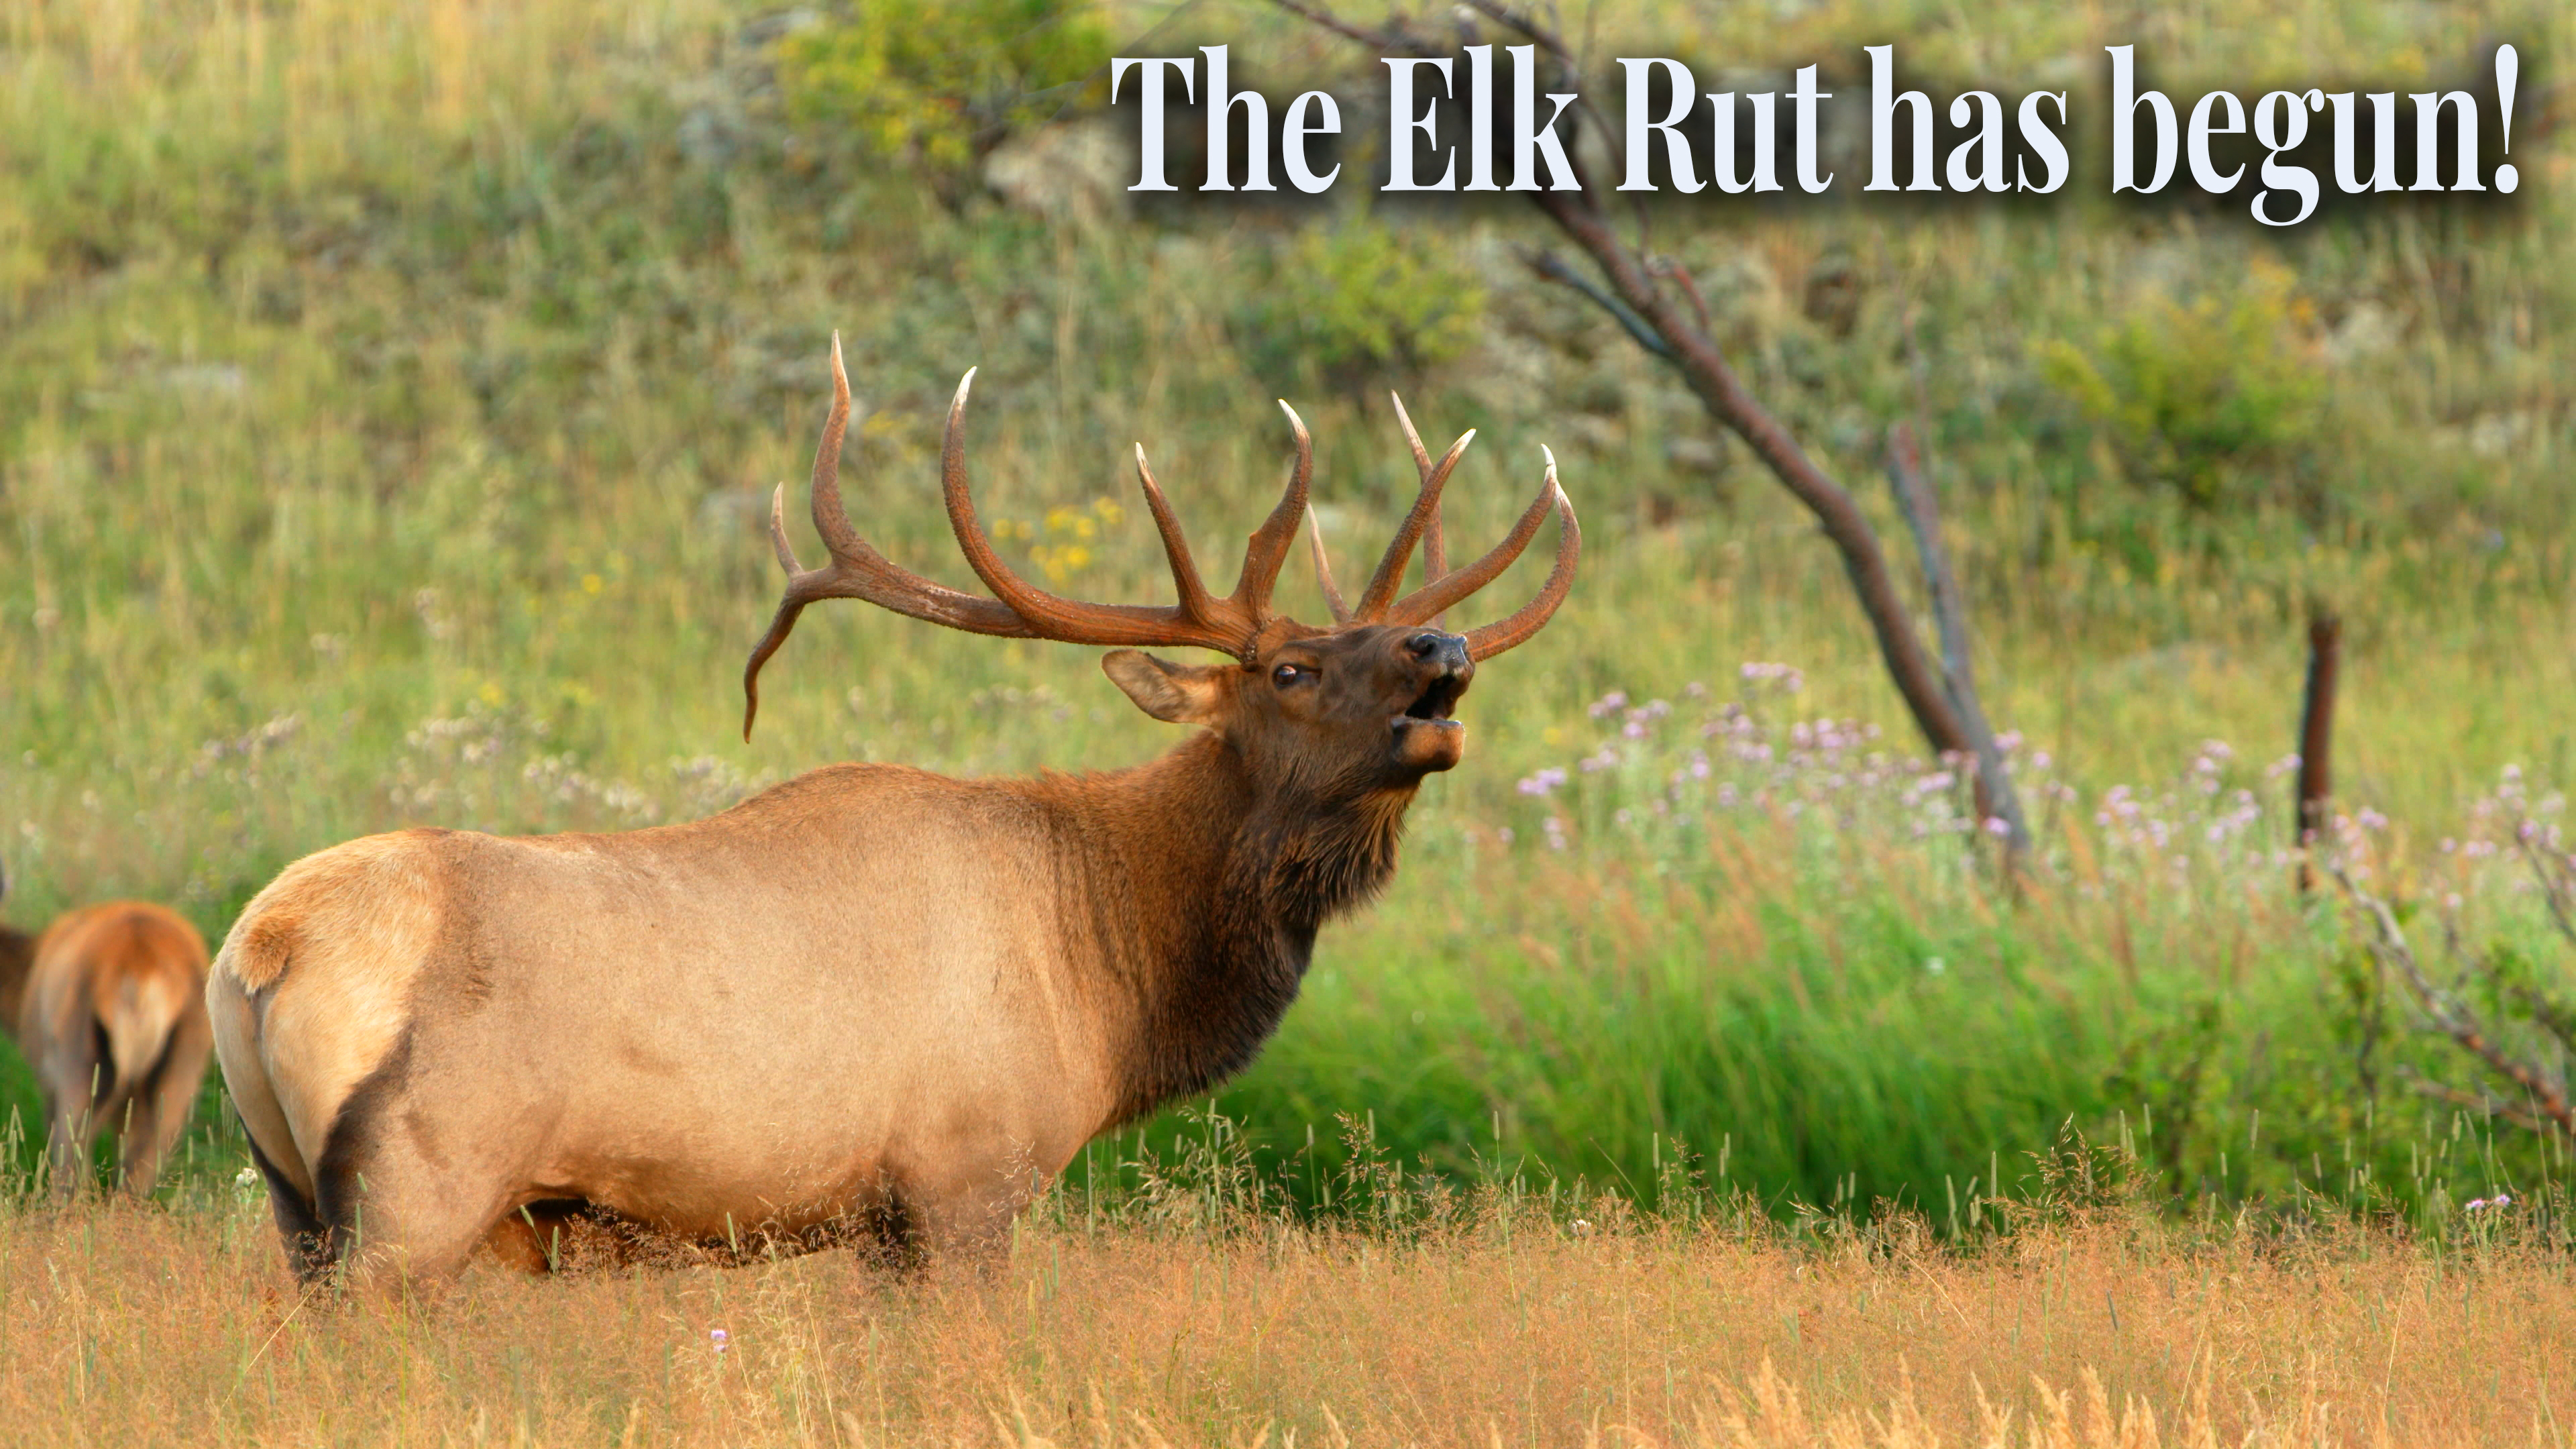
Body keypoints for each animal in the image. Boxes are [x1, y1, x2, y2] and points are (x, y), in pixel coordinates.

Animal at [206, 338, 1577, 1288]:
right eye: (1289, 671)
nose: (1444, 648)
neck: (1108, 974)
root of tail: (260, 953)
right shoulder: (967, 1180)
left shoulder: (880, 1223)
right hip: (417, 1193)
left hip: (291, 1200)